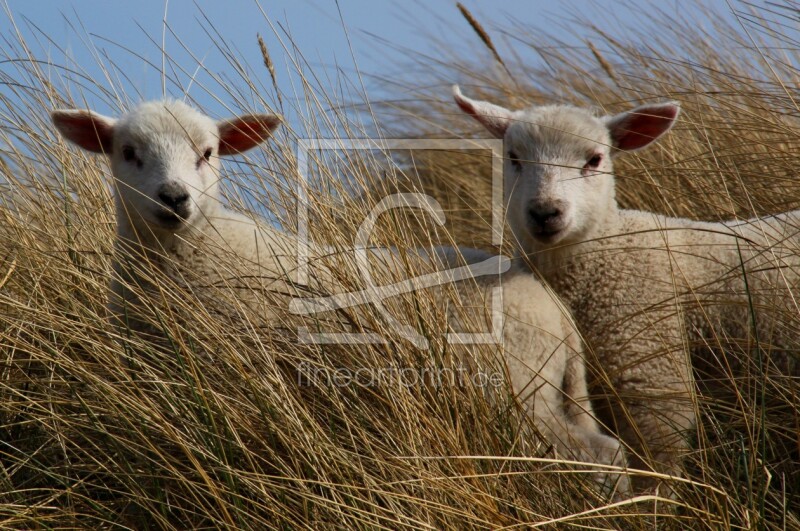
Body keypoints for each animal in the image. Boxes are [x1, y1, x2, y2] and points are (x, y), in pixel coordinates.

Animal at [53, 100, 632, 498]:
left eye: (208, 153)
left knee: (594, 454)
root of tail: (552, 306)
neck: (192, 248)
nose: (174, 198)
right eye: (128, 153)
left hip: (515, 388)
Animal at [454, 86, 800, 494]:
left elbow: (658, 466)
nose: (545, 212)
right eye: (513, 157)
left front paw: (651, 505)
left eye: (595, 159)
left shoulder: (653, 381)